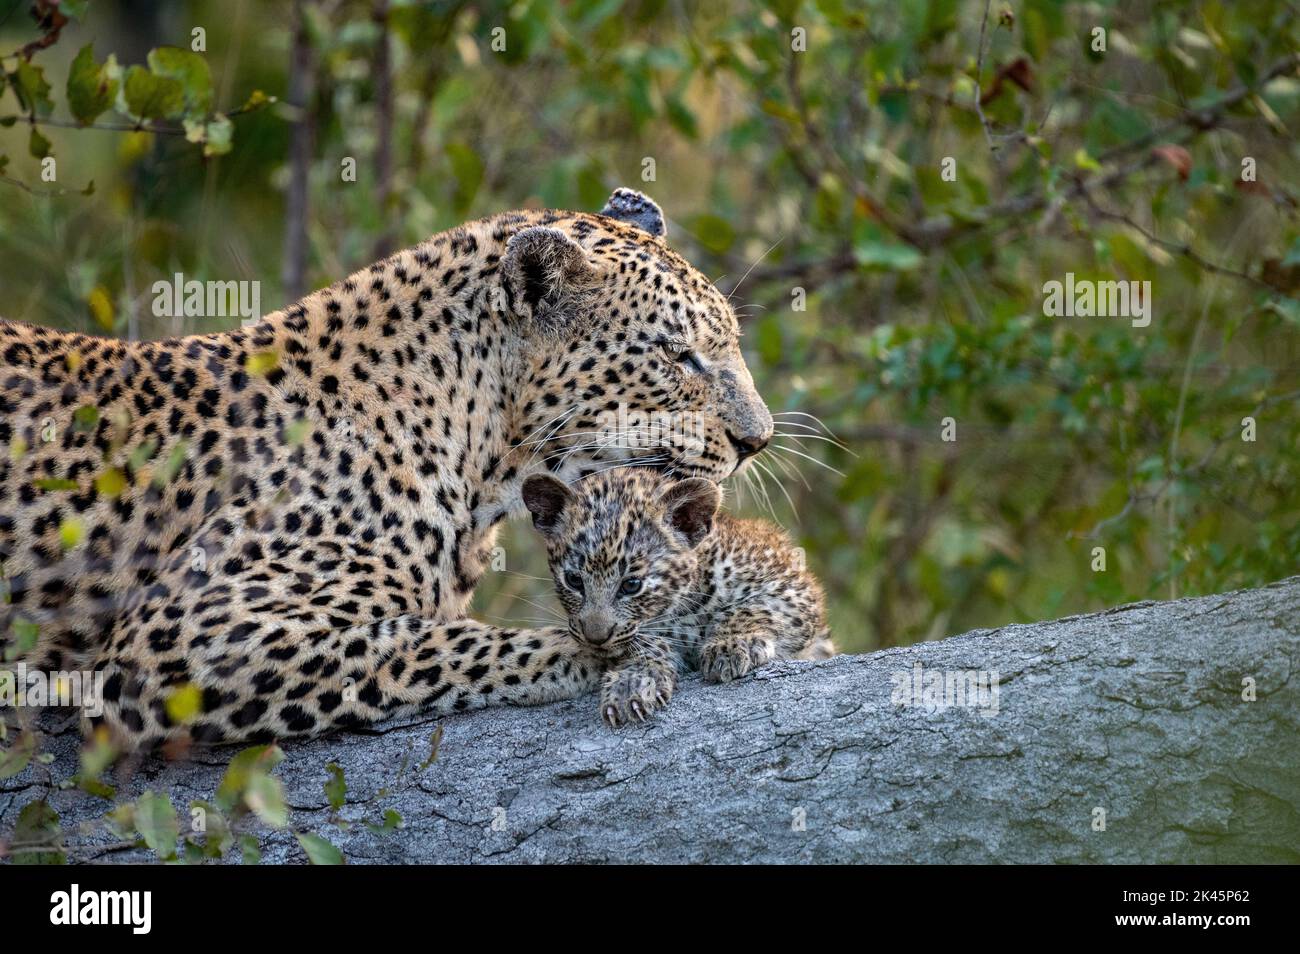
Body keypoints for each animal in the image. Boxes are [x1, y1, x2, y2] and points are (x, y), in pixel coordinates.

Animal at [0, 188, 775, 750]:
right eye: (677, 356)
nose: (758, 439)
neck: (481, 463)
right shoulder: (182, 636)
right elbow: (435, 642)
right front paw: (624, 657)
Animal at [522, 466, 834, 727]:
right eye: (574, 581)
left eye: (631, 585)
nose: (595, 638)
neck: (682, 608)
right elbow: (644, 646)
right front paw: (631, 683)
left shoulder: (792, 590)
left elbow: (751, 608)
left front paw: (730, 645)